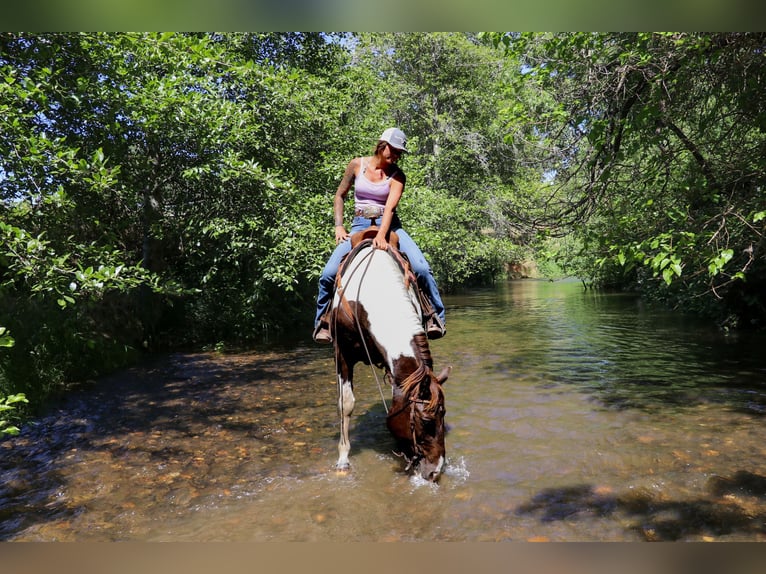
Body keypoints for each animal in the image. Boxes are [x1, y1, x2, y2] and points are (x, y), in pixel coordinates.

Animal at [329, 233, 450, 482]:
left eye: (444, 414)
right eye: (426, 421)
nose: (435, 471)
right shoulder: (342, 354)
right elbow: (346, 404)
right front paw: (343, 460)